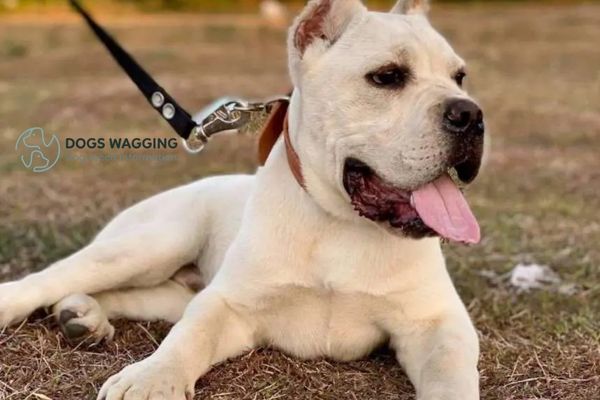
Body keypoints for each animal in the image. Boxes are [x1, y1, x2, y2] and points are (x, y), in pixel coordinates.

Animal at [0, 1, 486, 398]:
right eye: (387, 77)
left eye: (460, 77)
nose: (470, 114)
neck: (340, 221)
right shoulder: (230, 306)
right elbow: (189, 337)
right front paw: (152, 378)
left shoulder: (436, 323)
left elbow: (451, 376)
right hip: (152, 244)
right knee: (47, 281)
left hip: (166, 289)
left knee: (126, 295)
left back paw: (83, 316)